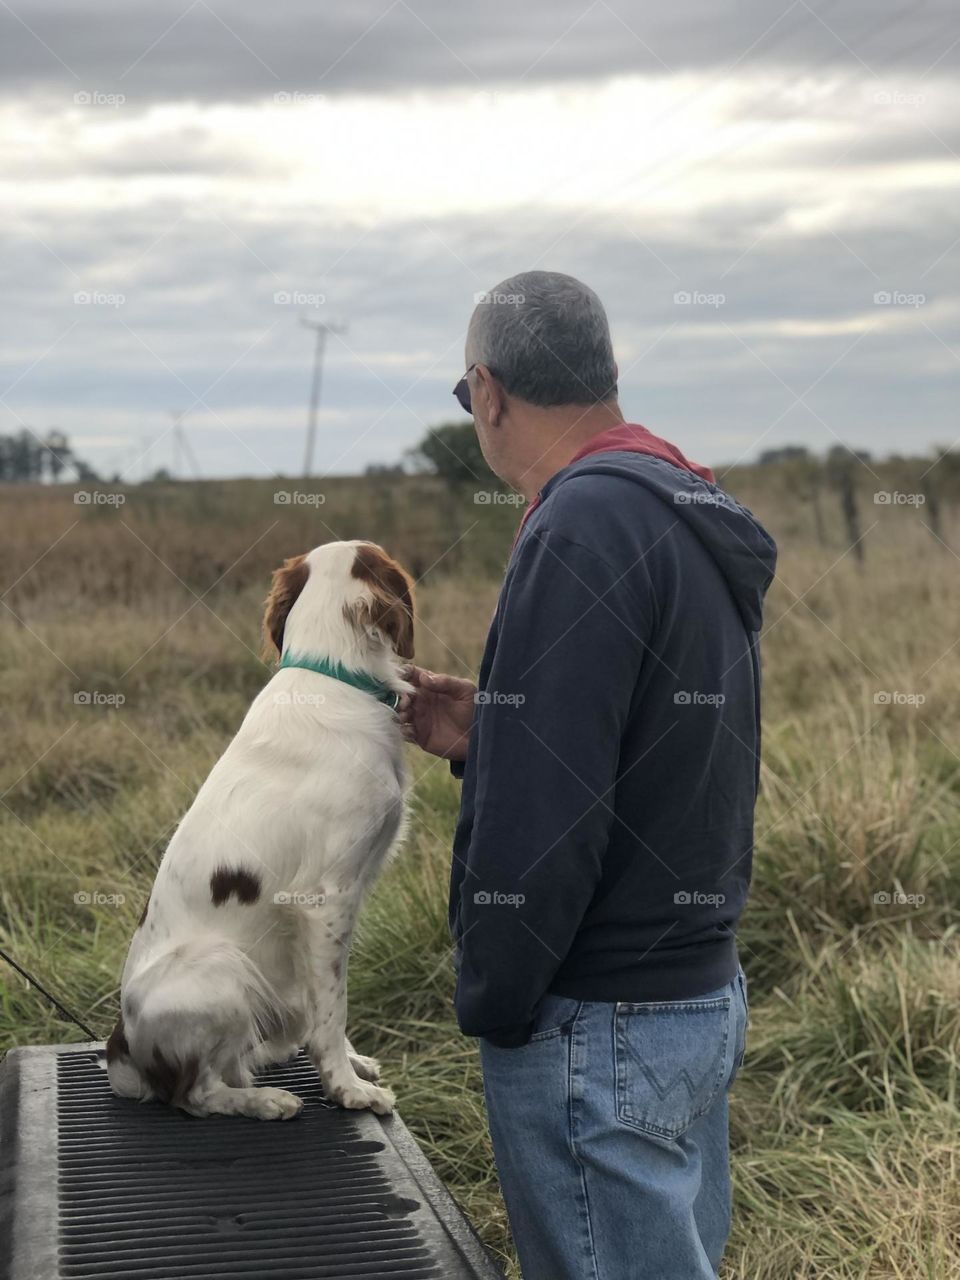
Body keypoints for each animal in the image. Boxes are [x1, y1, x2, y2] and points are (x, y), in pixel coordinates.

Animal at [106, 540, 414, 1121]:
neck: (330, 669)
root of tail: (121, 1045)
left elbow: (323, 1005)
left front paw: (351, 1065)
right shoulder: (325, 900)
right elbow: (332, 1009)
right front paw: (347, 1089)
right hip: (225, 970)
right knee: (195, 1095)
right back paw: (264, 1101)